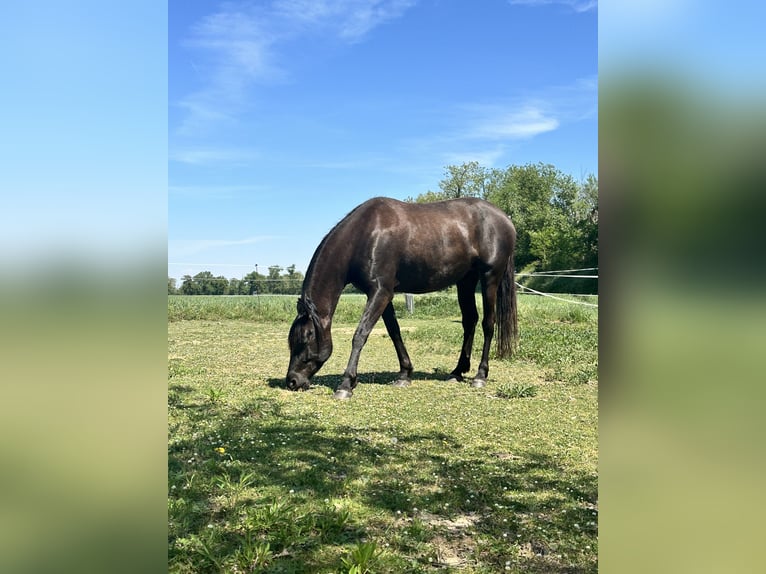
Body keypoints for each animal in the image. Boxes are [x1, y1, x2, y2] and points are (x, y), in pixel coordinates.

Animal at [286, 196, 518, 400]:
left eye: (306, 337)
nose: (292, 381)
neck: (365, 235)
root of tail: (504, 218)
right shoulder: (383, 294)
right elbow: (394, 331)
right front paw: (405, 374)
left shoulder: (380, 292)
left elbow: (360, 334)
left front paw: (346, 384)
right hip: (466, 280)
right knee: (470, 320)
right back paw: (457, 371)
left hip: (489, 277)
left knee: (488, 323)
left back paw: (480, 375)